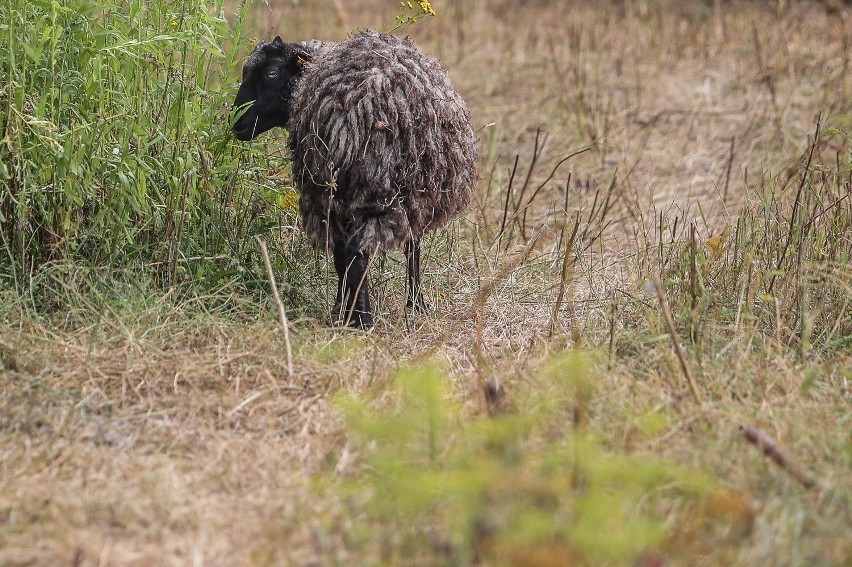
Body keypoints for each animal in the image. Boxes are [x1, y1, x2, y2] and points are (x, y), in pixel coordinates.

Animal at [231, 31, 480, 328]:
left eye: (271, 72)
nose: (236, 123)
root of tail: (350, 115)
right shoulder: (415, 197)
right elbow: (413, 247)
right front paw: (416, 304)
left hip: (330, 189)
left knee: (344, 253)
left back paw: (346, 313)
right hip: (372, 187)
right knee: (357, 255)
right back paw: (363, 319)